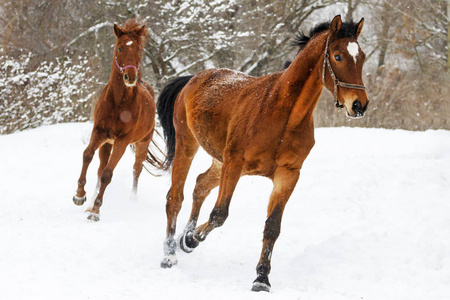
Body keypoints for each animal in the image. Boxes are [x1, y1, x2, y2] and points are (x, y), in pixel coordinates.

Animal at [72, 18, 160, 220]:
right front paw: (80, 196)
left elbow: (108, 174)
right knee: (100, 167)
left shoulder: (122, 140)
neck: (118, 102)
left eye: (138, 49)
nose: (130, 77)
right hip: (107, 143)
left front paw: (96, 211)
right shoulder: (99, 131)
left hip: (142, 143)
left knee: (136, 169)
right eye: (119, 48)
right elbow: (87, 155)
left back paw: (132, 200)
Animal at [156, 15, 368, 292]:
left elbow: (272, 227)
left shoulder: (287, 175)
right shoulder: (234, 164)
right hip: (187, 146)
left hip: (218, 160)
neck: (283, 113)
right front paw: (191, 240)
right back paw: (170, 253)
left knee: (200, 185)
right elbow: (219, 214)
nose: (359, 105)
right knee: (175, 197)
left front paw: (261, 278)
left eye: (362, 57)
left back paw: (184, 236)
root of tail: (193, 79)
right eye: (338, 56)